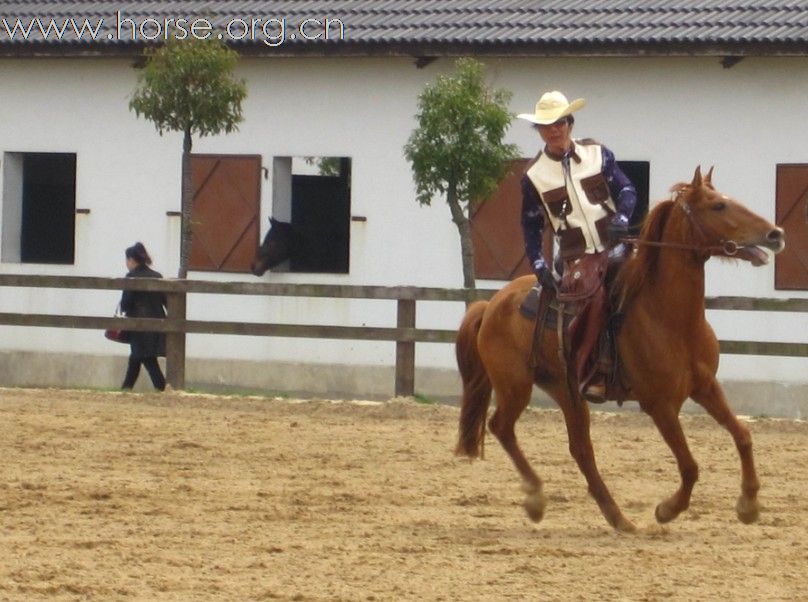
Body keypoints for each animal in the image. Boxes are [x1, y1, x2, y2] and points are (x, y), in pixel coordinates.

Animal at [458, 168, 784, 528]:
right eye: (718, 206)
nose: (775, 234)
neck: (670, 318)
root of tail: (491, 304)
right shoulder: (659, 405)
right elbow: (689, 466)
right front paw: (667, 509)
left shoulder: (706, 386)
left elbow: (742, 434)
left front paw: (749, 504)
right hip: (515, 386)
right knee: (501, 427)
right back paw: (535, 498)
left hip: (566, 390)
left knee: (580, 450)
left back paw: (617, 518)